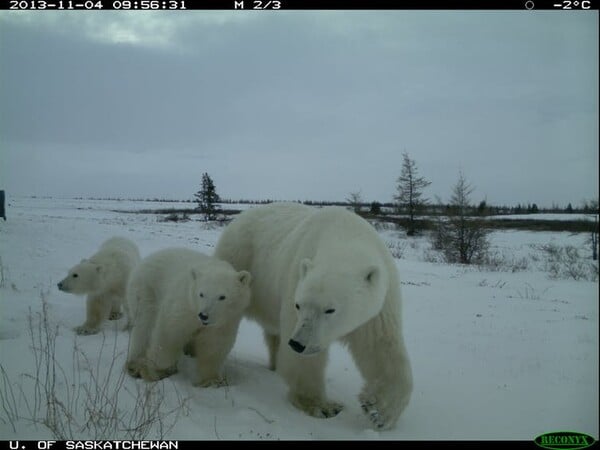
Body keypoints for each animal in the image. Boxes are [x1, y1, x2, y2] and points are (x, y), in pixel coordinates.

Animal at [216, 203, 412, 428]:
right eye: (298, 305)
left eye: (330, 309)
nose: (297, 344)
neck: (344, 235)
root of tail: (240, 217)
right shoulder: (296, 279)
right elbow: (304, 361)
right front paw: (323, 407)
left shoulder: (379, 304)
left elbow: (381, 347)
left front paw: (378, 410)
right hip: (238, 262)